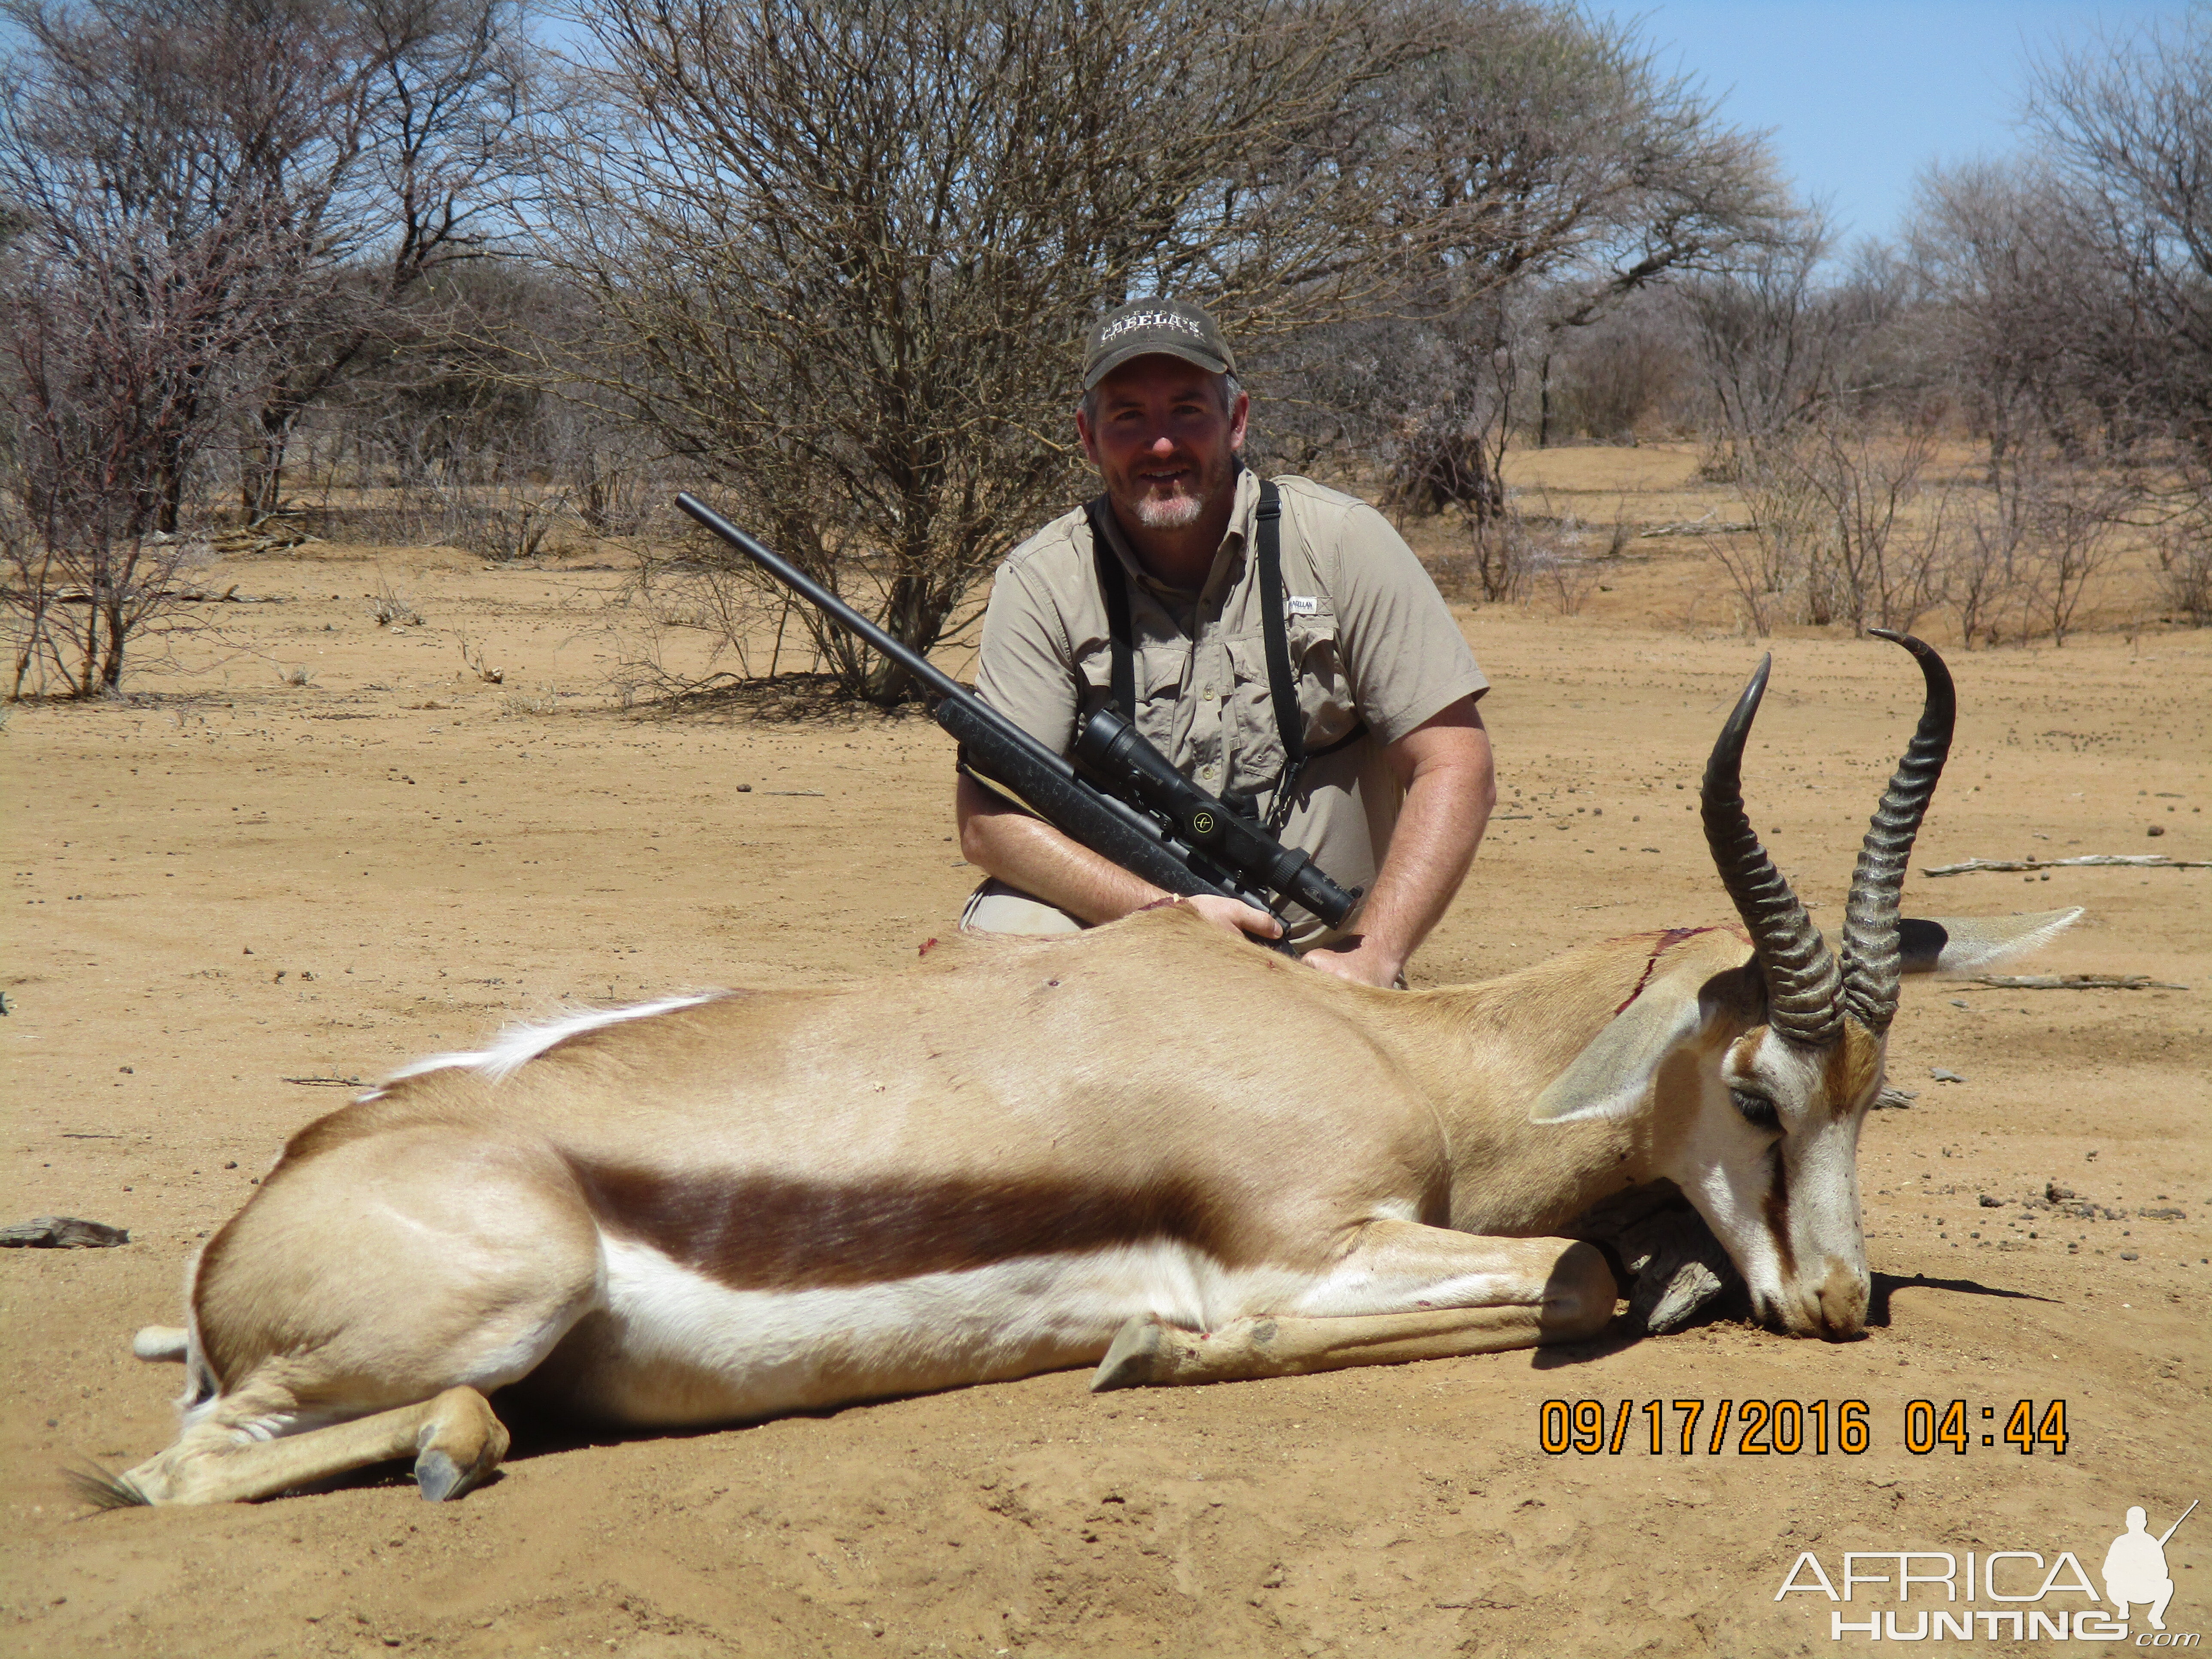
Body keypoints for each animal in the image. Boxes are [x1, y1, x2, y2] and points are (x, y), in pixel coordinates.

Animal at [104, 632, 2070, 1504]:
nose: (1837, 1306)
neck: (1390, 1039)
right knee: (185, 1470)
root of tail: (251, 1217)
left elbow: (1637, 1269)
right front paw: (1153, 1347)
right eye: (1752, 1091)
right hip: (506, 1293)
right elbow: (1580, 1270)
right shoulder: (1310, 1244)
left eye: (1875, 1092)